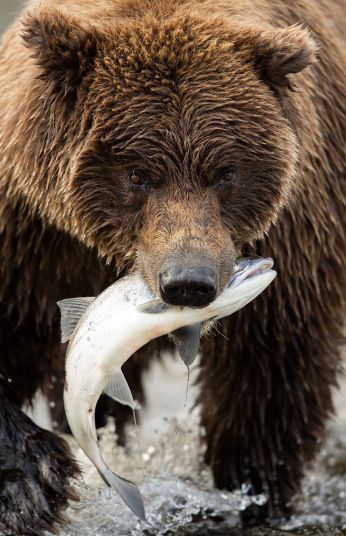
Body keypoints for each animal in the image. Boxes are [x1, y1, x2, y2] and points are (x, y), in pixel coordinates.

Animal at [0, 0, 344, 532]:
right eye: (139, 174)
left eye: (225, 172)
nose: (188, 282)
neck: (108, 254)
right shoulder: (30, 234)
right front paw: (34, 480)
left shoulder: (296, 229)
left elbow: (270, 374)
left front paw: (251, 491)